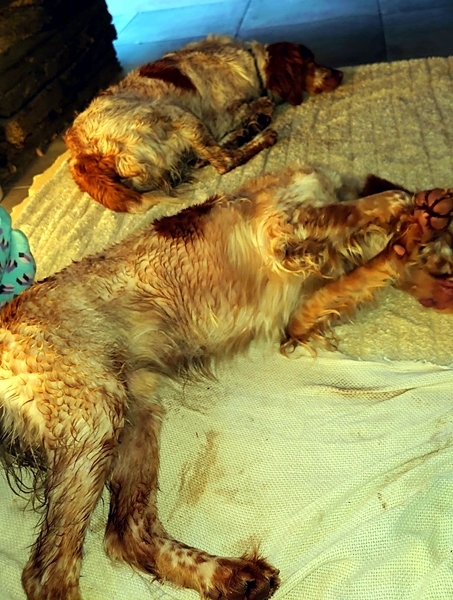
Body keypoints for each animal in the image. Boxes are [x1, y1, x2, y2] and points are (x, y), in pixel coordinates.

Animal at [1, 164, 452, 600]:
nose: (444, 300)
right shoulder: (281, 222)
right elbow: (353, 210)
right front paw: (412, 213)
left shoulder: (299, 312)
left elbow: (362, 269)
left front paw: (408, 234)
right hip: (96, 418)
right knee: (47, 574)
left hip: (136, 415)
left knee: (127, 533)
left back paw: (231, 576)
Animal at [64, 35, 343, 213]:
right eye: (311, 62)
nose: (340, 74)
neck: (250, 62)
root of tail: (84, 154)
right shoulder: (227, 112)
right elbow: (263, 104)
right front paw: (255, 121)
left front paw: (245, 129)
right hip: (176, 114)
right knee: (223, 162)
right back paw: (260, 137)